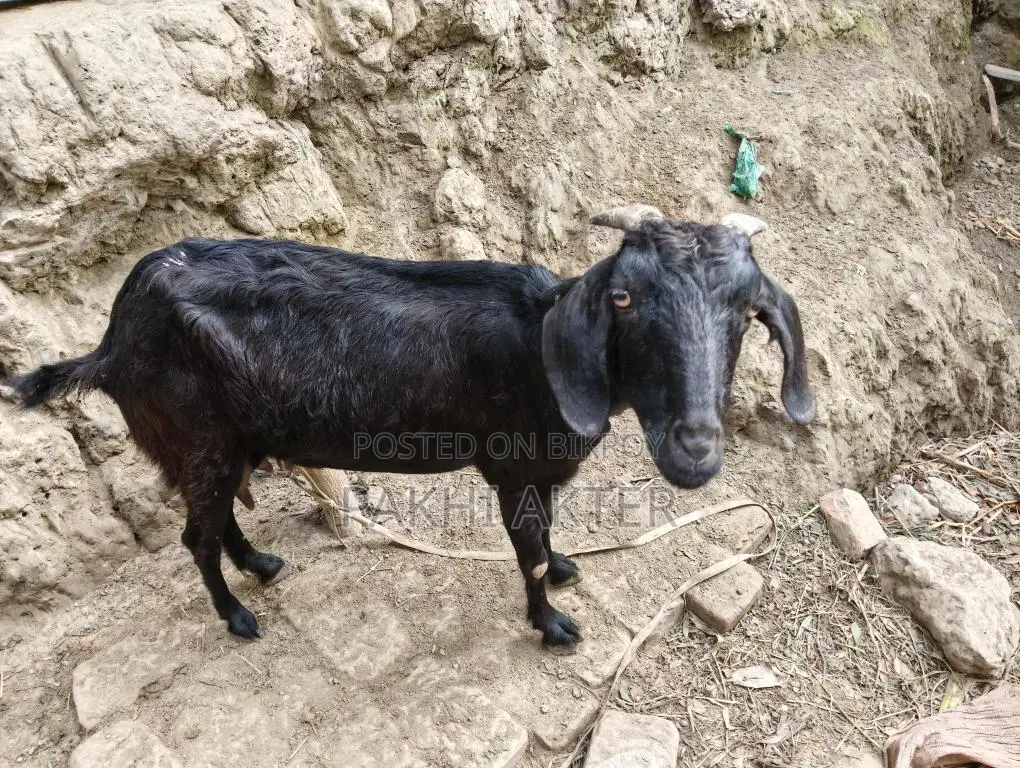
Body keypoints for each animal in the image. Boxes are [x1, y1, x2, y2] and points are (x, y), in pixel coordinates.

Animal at [8, 204, 815, 652]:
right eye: (623, 297)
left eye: (748, 312)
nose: (694, 450)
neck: (546, 349)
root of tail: (111, 339)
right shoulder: (511, 463)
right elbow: (524, 551)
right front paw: (551, 627)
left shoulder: (541, 469)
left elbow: (548, 536)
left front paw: (565, 569)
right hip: (194, 434)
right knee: (194, 537)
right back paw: (237, 616)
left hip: (222, 443)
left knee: (216, 519)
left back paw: (260, 565)